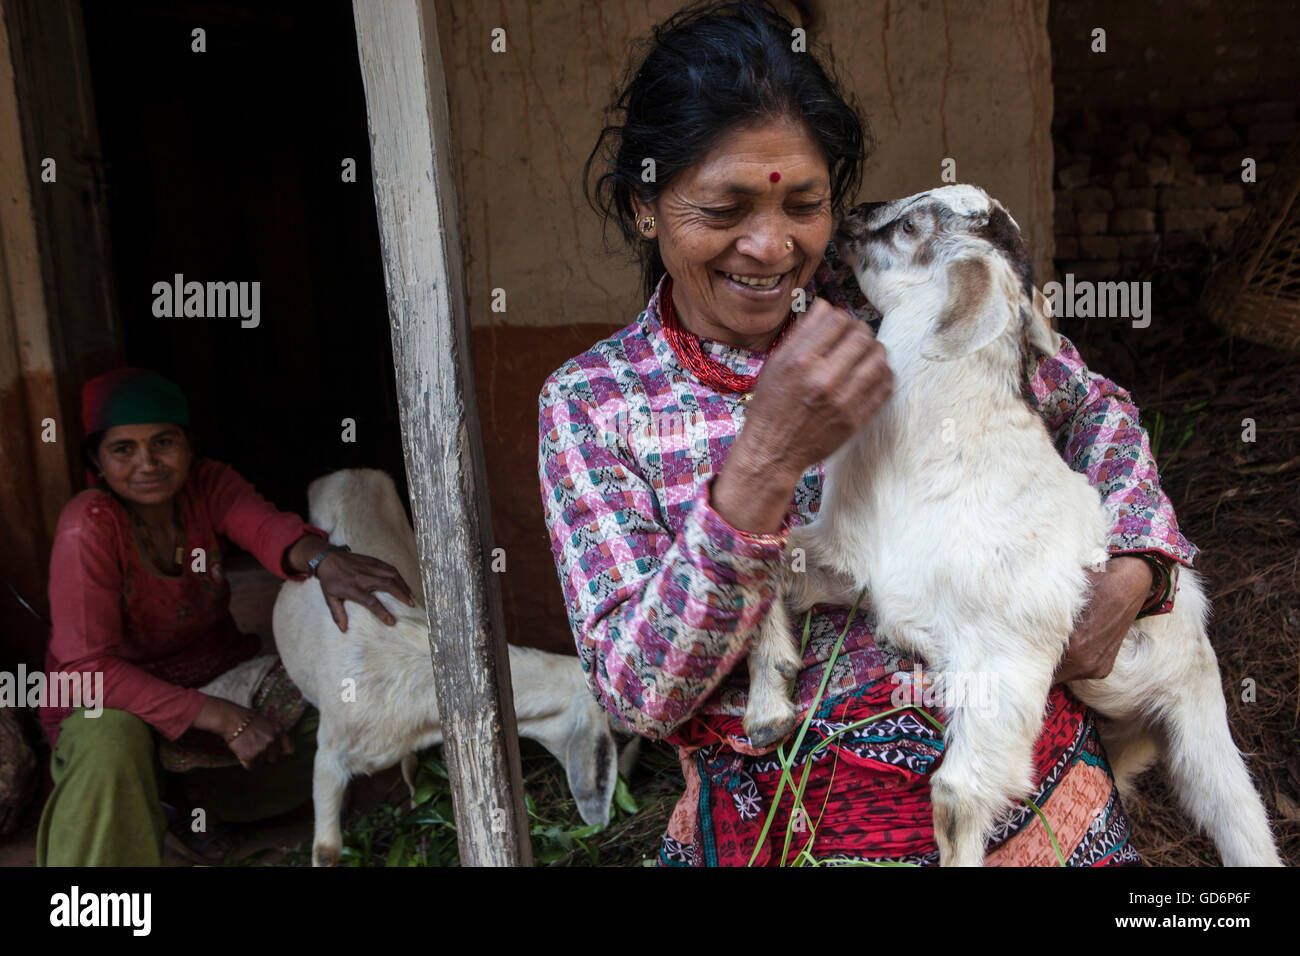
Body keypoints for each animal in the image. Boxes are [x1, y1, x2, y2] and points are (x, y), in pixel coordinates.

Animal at [748, 184, 1284, 868]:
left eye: (912, 227)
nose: (851, 215)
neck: (936, 455)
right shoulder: (855, 565)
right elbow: (769, 561)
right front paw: (767, 709)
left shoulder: (1009, 653)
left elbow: (957, 794)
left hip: (1197, 709)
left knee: (1236, 812)